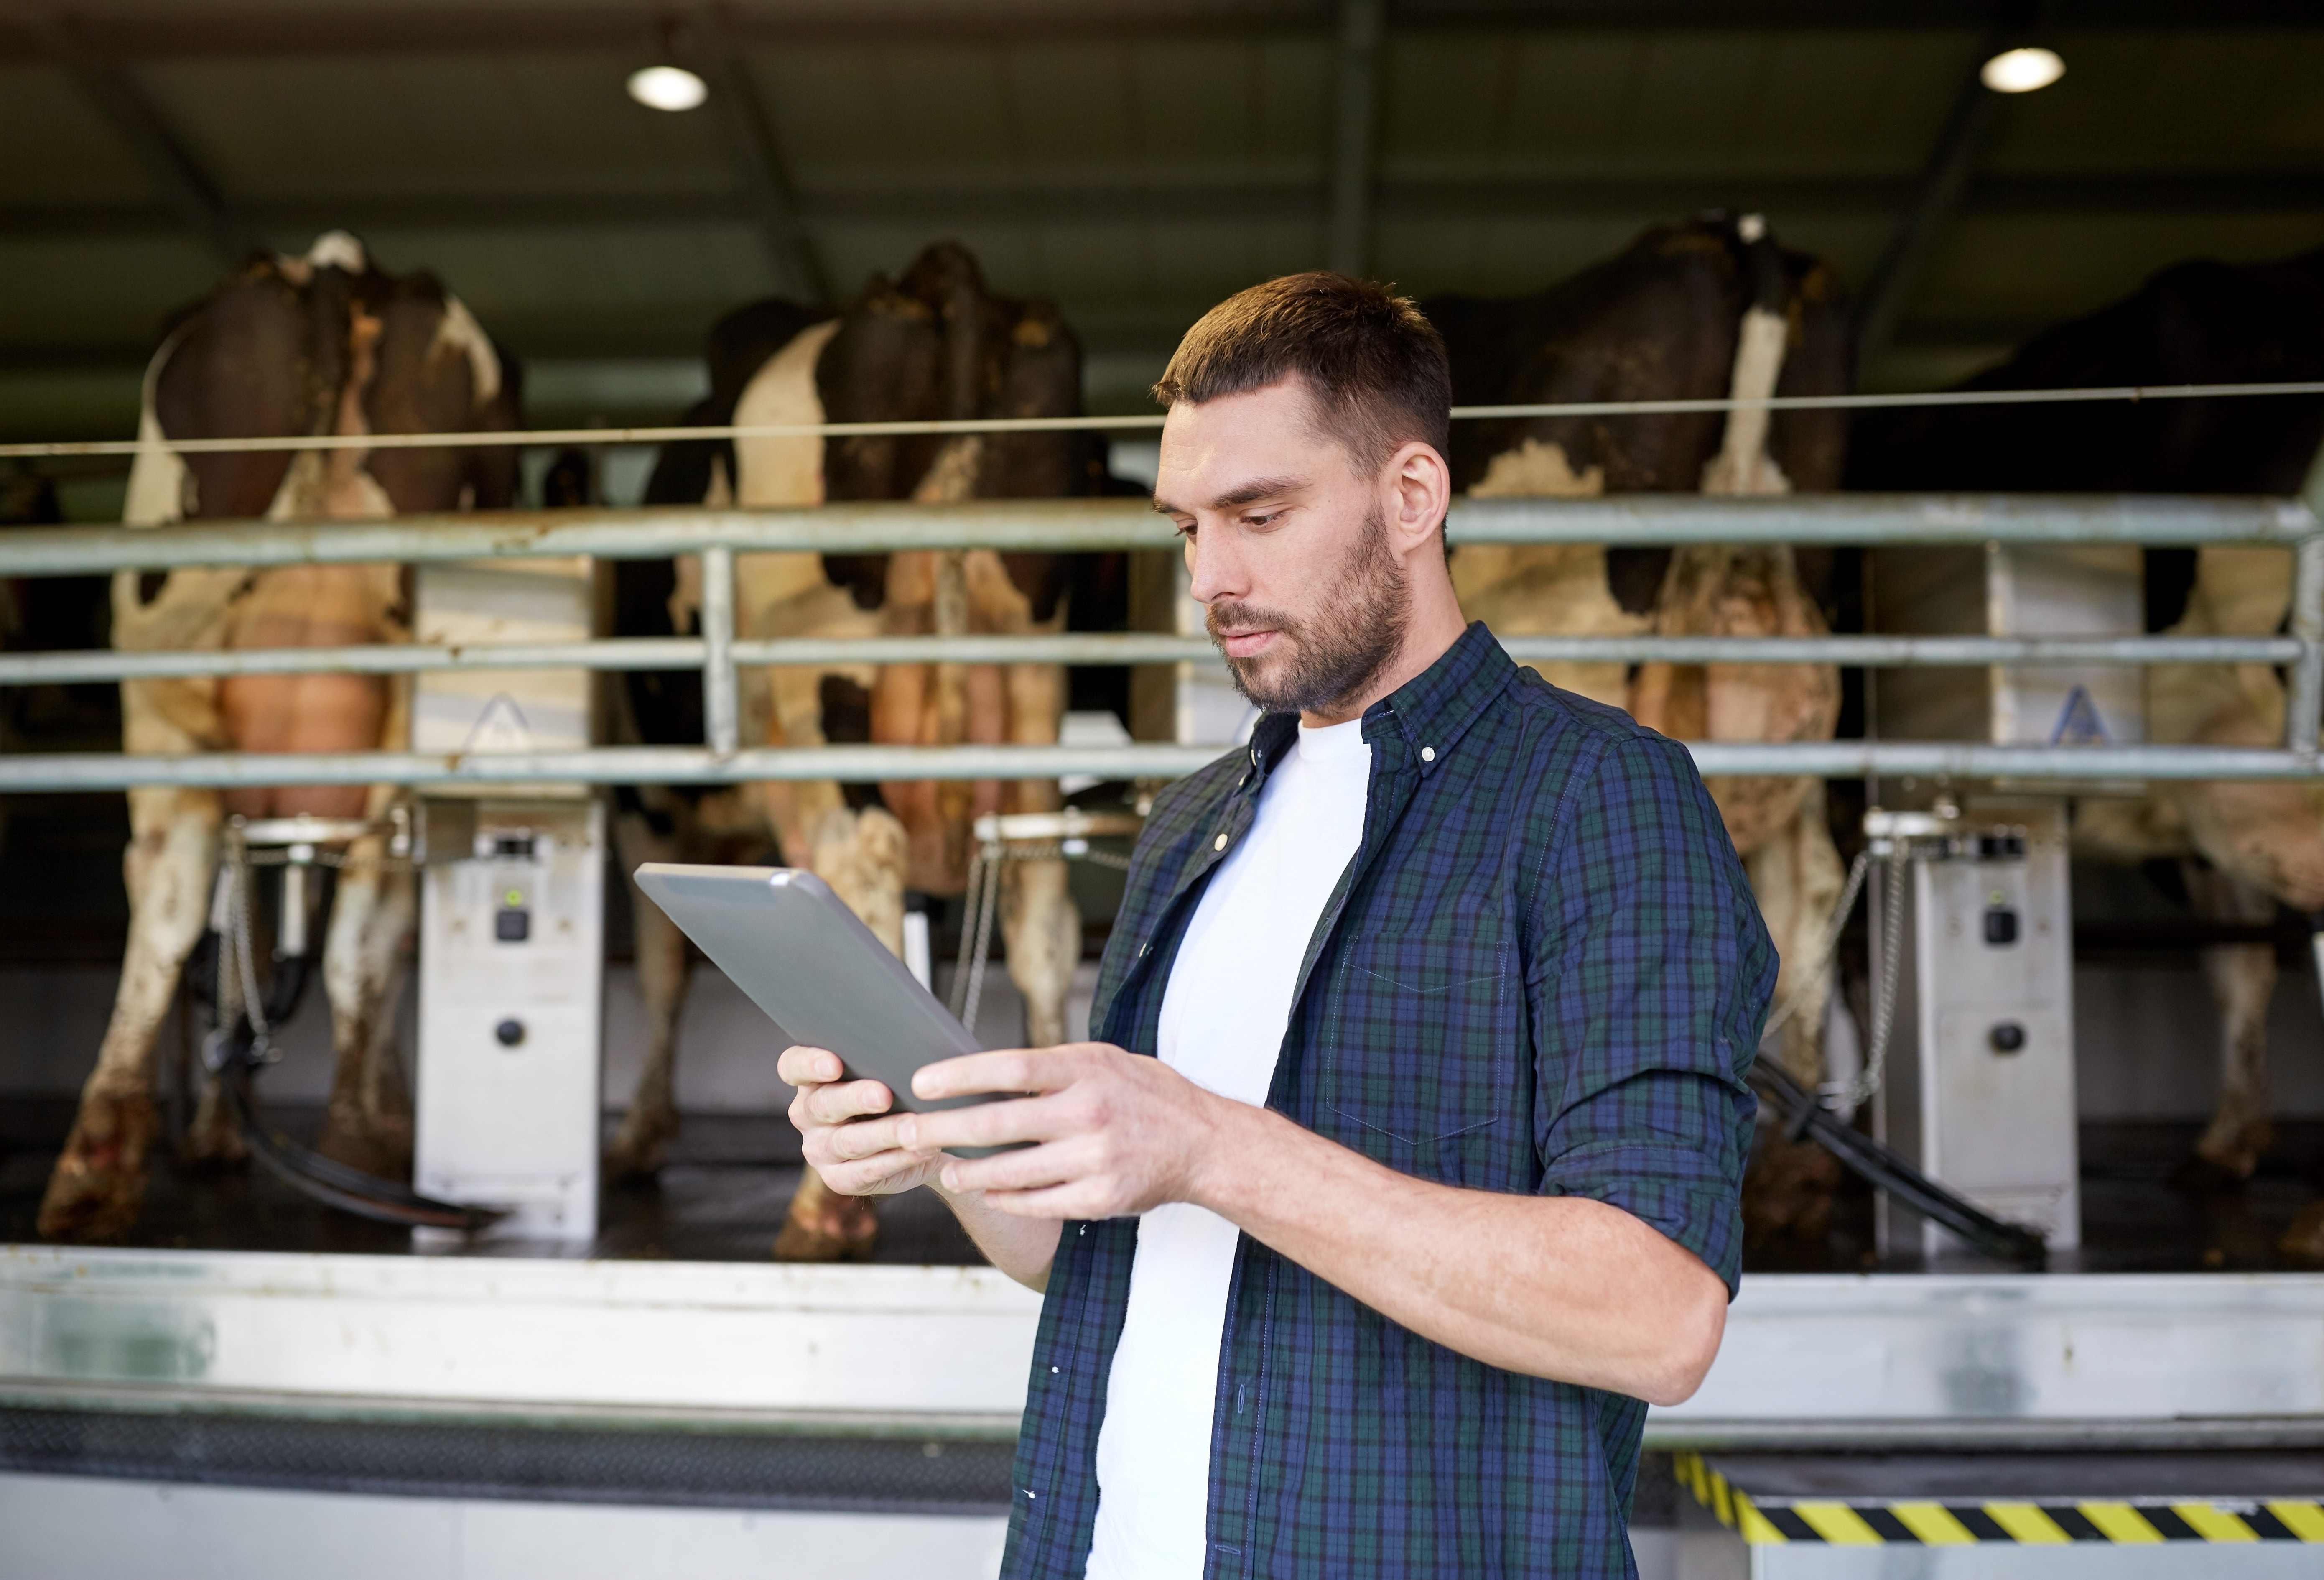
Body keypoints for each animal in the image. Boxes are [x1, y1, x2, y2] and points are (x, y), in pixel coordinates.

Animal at [609, 244, 1097, 1254]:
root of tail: (929, 275)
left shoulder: (645, 802)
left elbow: (664, 967)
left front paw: (639, 1133)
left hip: (826, 669)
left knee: (865, 863)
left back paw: (821, 1210)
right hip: (1030, 674)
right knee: (1037, 903)